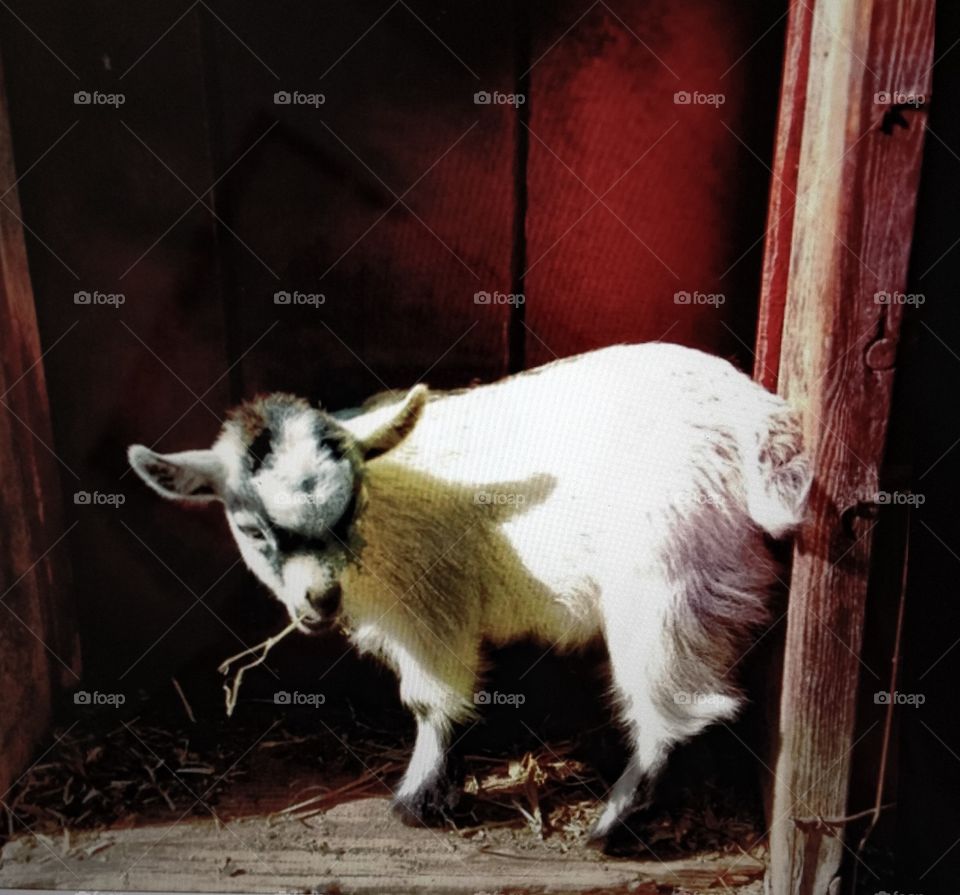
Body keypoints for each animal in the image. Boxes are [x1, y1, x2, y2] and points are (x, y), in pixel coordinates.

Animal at [128, 342, 810, 842]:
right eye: (252, 528)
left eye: (350, 508)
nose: (318, 602)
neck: (385, 508)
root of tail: (756, 421)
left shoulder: (431, 611)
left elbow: (432, 702)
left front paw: (420, 799)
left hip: (665, 588)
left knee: (674, 705)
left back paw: (614, 819)